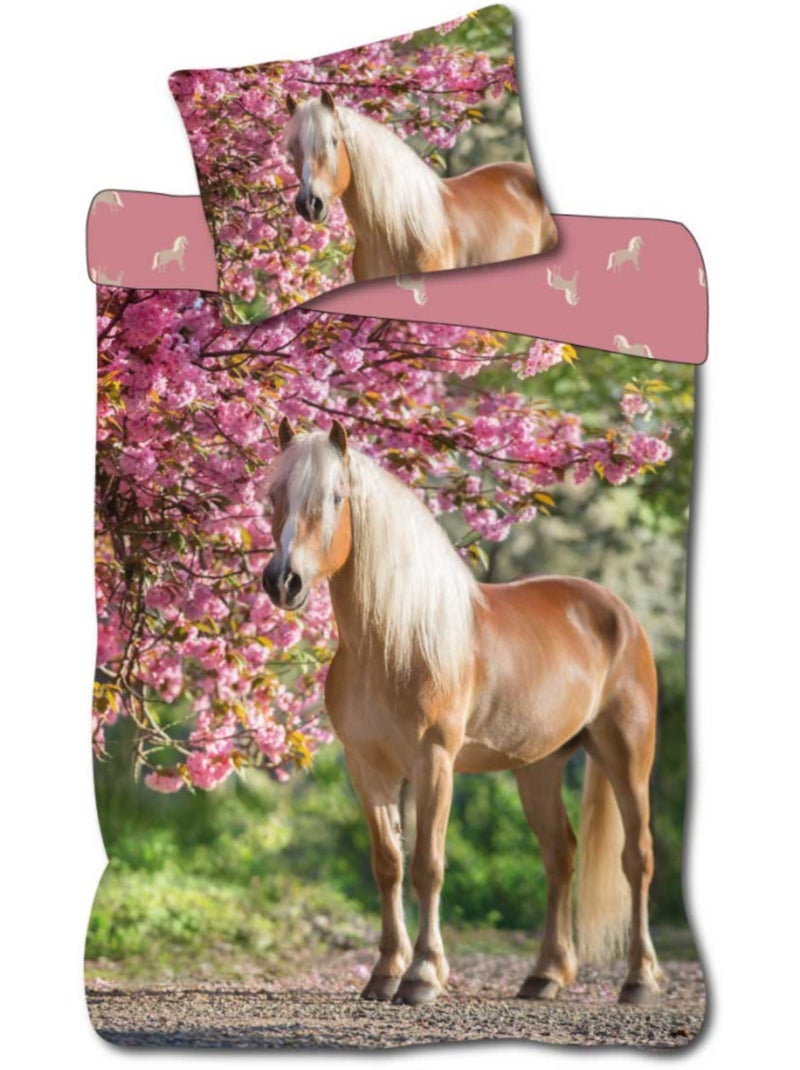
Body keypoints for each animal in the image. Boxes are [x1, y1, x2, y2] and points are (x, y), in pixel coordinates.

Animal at [262, 420, 663, 1007]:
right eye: (275, 496)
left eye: (335, 497)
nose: (282, 581)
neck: (394, 641)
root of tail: (619, 614)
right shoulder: (367, 768)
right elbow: (389, 864)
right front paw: (385, 972)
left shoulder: (434, 763)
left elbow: (428, 865)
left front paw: (423, 975)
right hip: (538, 767)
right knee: (560, 855)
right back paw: (545, 975)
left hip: (627, 754)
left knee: (637, 858)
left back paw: (639, 980)